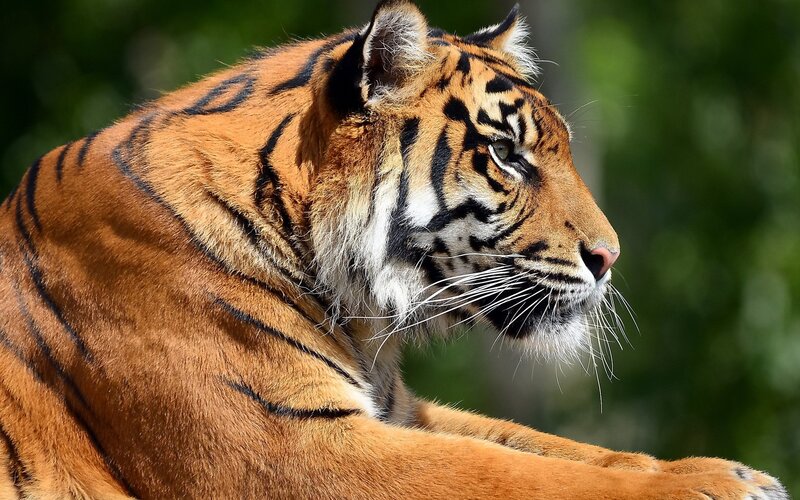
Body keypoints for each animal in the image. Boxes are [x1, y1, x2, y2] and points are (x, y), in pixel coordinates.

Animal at [0, 0, 788, 498]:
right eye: (506, 155)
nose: (609, 256)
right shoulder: (290, 448)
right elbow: (516, 475)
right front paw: (714, 485)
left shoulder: (397, 412)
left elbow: (558, 449)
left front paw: (729, 472)